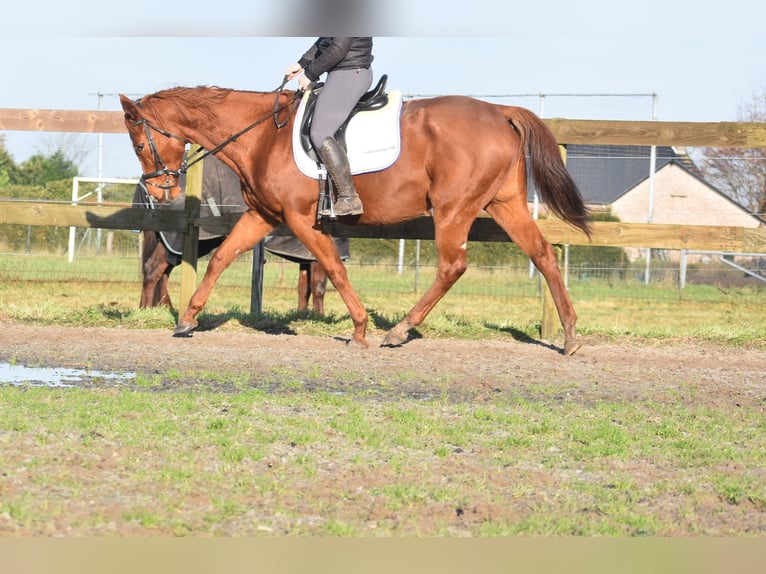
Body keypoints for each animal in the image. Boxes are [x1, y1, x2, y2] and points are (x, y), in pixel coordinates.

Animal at [120, 85, 592, 356]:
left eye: (140, 142)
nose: (161, 193)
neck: (263, 135)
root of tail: (500, 112)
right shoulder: (264, 214)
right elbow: (222, 258)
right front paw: (188, 319)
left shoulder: (301, 221)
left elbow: (332, 269)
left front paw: (361, 328)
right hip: (504, 203)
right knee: (543, 254)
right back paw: (569, 336)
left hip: (452, 208)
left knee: (452, 266)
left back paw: (398, 330)